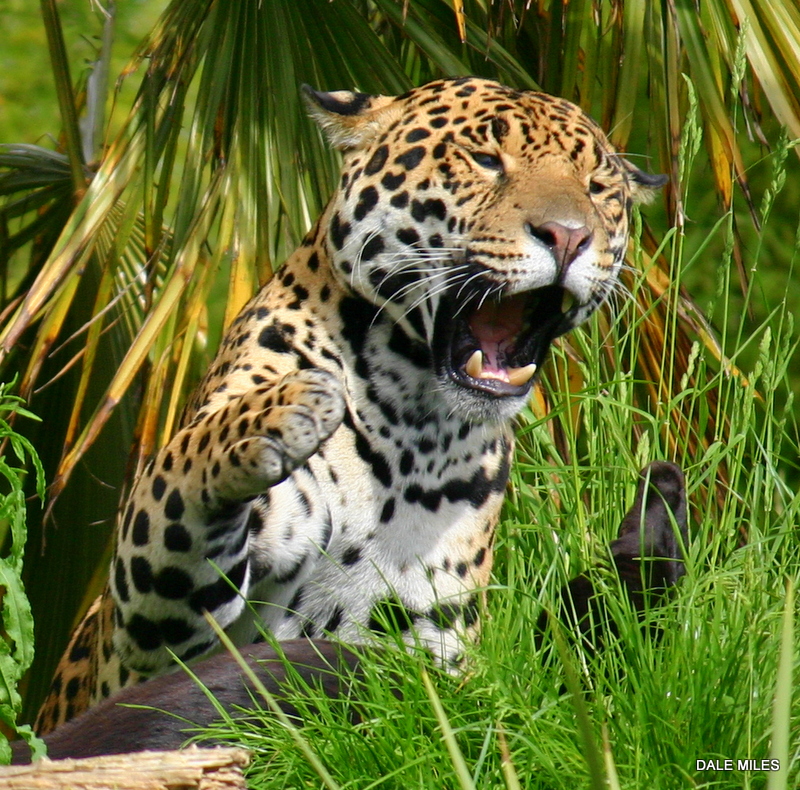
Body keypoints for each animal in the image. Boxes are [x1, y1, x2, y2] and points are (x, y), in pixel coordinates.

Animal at [34, 76, 666, 735]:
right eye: (486, 160)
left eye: (597, 189)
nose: (569, 236)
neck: (415, 429)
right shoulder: (148, 638)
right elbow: (181, 470)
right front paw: (279, 410)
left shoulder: (433, 644)